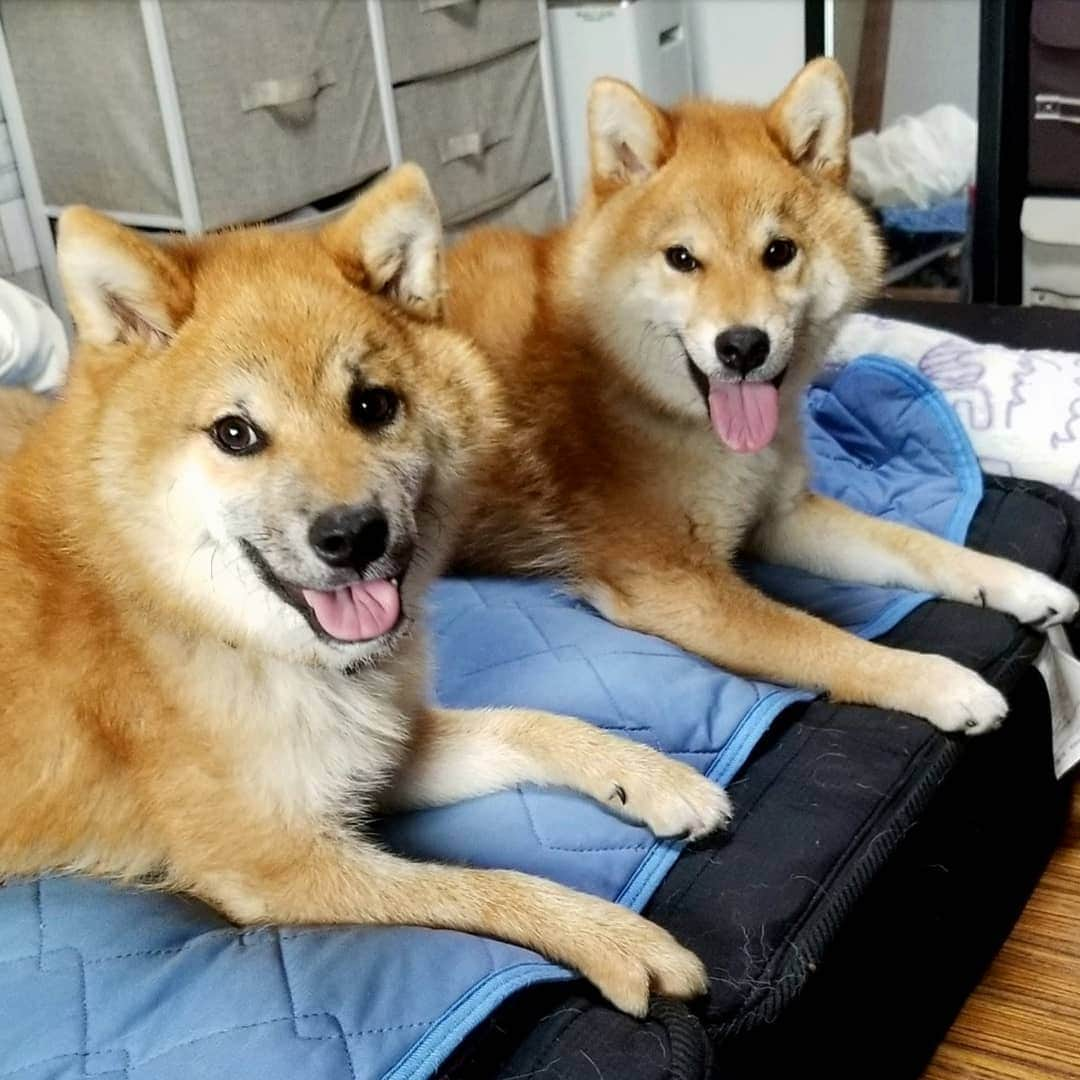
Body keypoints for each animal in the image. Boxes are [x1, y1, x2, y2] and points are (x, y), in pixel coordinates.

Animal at [0, 164, 730, 1015]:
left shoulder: (383, 752)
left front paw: (653, 778)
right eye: (235, 433)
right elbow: (485, 887)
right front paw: (612, 936)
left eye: (372, 404)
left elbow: (534, 726)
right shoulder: (278, 867)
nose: (352, 536)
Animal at [442, 59, 1075, 734]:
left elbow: (916, 544)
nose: (742, 345)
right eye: (681, 258)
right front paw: (939, 680)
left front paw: (1020, 583)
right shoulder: (674, 583)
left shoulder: (780, 515)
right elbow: (818, 638)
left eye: (779, 251)